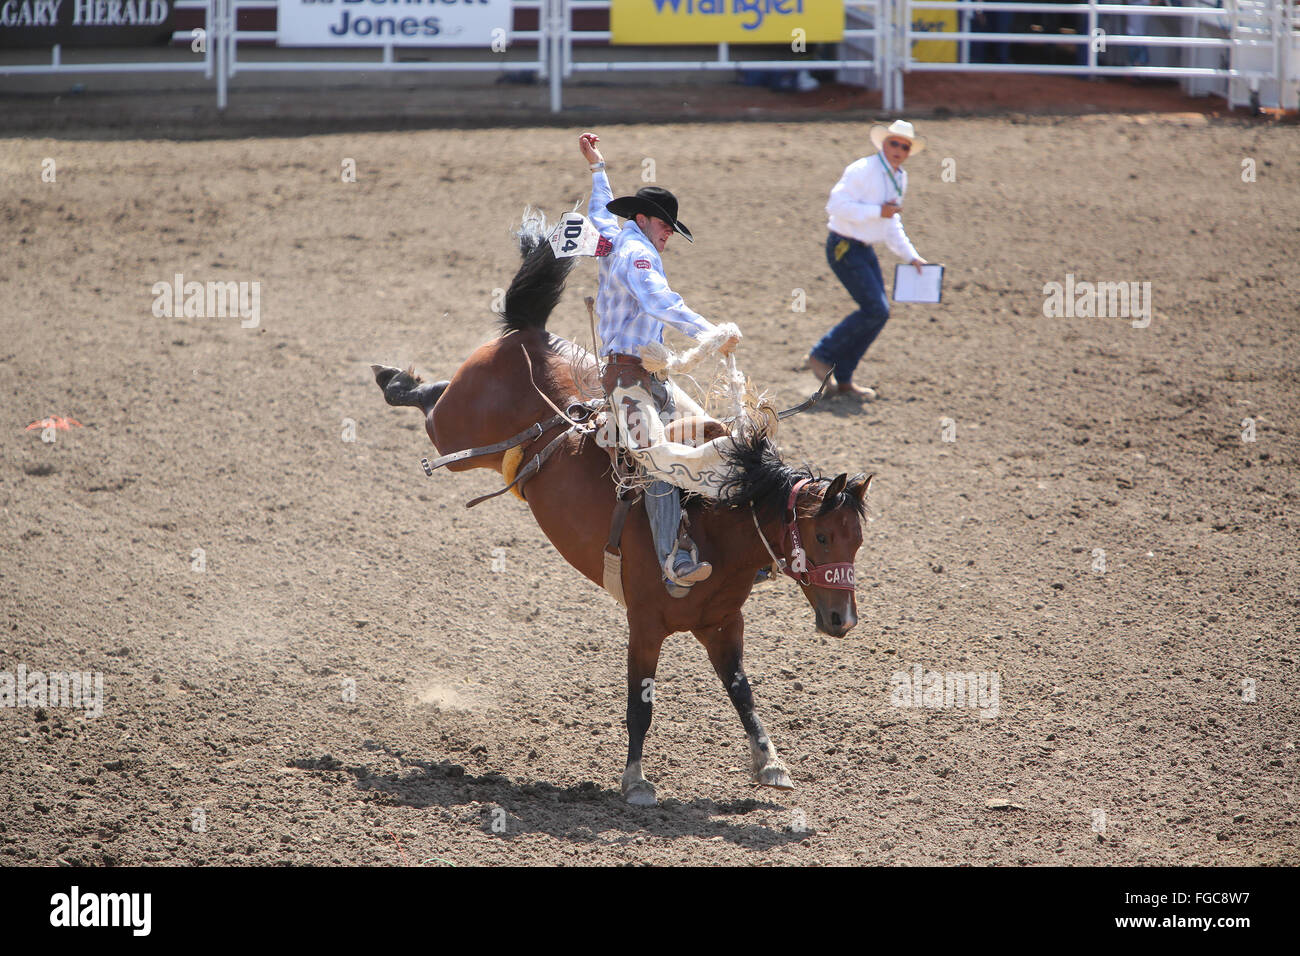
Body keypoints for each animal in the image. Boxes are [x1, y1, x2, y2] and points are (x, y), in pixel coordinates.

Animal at [371, 218, 868, 806]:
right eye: (822, 538)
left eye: (857, 541)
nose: (843, 620)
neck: (712, 526)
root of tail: (531, 334)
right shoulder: (645, 625)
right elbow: (641, 705)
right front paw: (636, 781)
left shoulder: (724, 624)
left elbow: (742, 693)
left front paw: (770, 763)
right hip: (453, 431)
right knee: (430, 402)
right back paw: (393, 378)